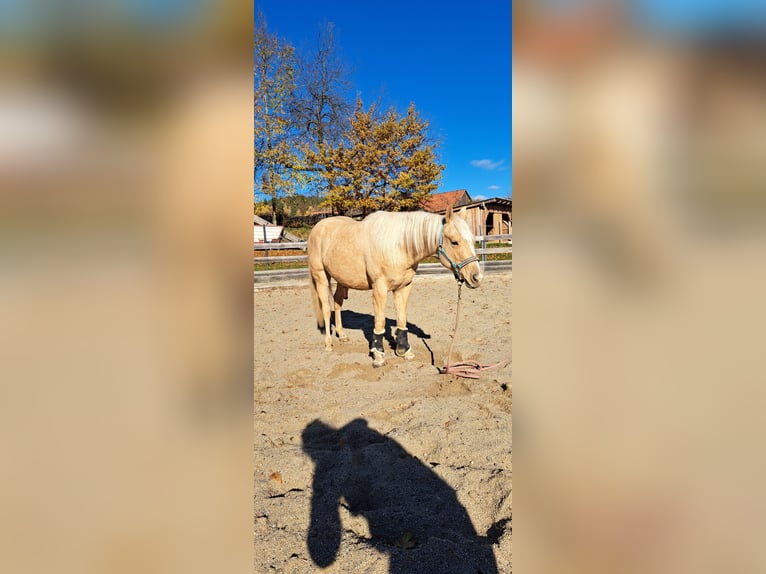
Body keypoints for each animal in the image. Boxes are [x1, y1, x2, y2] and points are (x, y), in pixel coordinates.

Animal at [307, 205, 483, 367]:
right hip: (321, 276)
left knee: (337, 303)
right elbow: (380, 322)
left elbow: (402, 319)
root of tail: (317, 228)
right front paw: (378, 355)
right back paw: (329, 344)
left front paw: (404, 351)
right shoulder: (379, 288)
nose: (477, 277)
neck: (398, 245)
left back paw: (342, 335)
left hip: (341, 280)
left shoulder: (403, 287)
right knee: (325, 308)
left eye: (473, 241)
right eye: (454, 242)